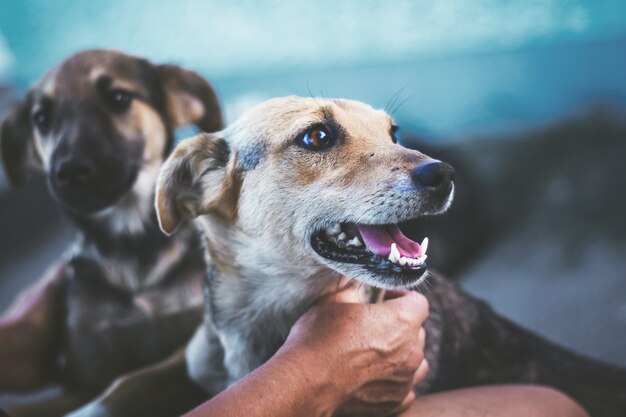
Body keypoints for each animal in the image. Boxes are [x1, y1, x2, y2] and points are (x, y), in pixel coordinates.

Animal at [0, 49, 223, 416]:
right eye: (42, 119)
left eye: (118, 98)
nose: (69, 172)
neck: (131, 241)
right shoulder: (84, 377)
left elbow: (129, 383)